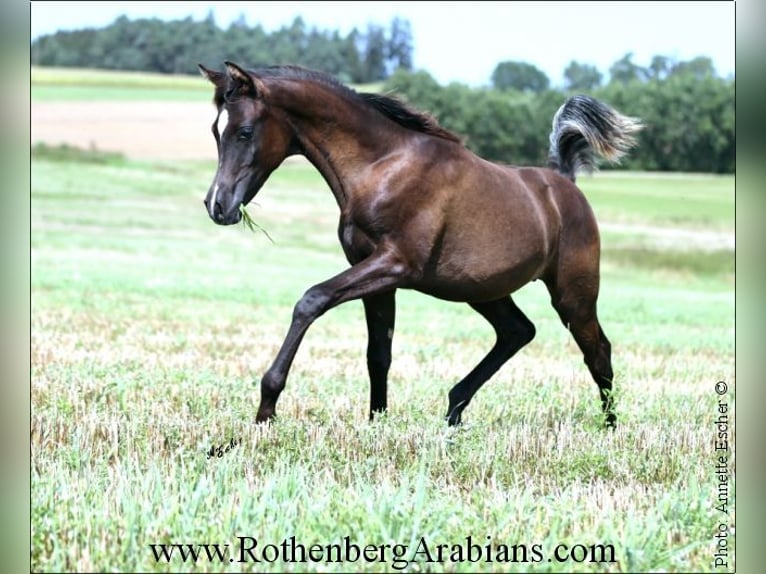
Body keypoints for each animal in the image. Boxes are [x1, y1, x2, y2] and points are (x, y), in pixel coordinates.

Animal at [196, 63, 640, 430]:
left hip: (573, 293)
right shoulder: (375, 274)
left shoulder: (395, 264)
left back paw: (609, 428)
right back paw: (454, 409)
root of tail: (564, 183)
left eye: (244, 132)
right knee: (517, 331)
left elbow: (311, 300)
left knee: (597, 349)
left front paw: (266, 409)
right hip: (483, 290)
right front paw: (376, 422)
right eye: (216, 131)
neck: (383, 167)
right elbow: (379, 353)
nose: (218, 206)